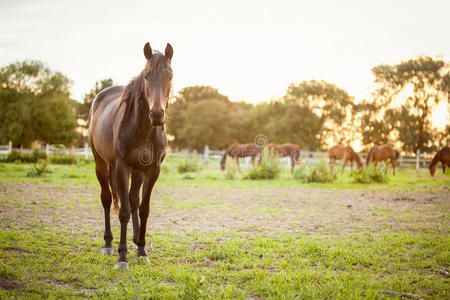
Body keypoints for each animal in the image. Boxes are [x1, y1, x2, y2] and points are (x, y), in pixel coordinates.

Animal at [88, 42, 174, 270]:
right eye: (146, 75)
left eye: (170, 74)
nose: (157, 114)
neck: (143, 129)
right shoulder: (121, 167)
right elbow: (124, 211)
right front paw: (122, 257)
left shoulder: (152, 170)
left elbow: (143, 208)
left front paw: (142, 250)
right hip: (102, 164)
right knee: (107, 199)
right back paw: (108, 244)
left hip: (137, 171)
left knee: (134, 199)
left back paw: (136, 241)